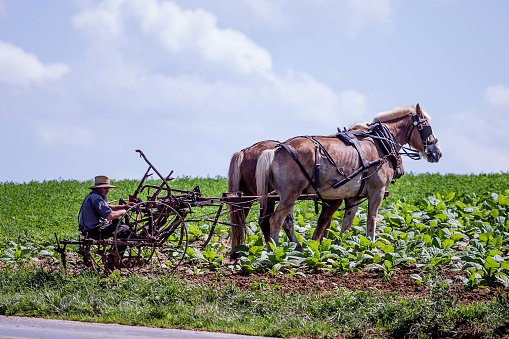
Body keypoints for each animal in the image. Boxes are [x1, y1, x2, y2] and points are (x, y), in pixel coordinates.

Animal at [256, 105, 438, 246]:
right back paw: (277, 252)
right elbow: (371, 219)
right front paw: (371, 246)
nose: (437, 152)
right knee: (275, 221)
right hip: (290, 194)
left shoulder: (354, 196)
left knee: (286, 222)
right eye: (427, 126)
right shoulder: (377, 192)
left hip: (288, 195)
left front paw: (341, 247)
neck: (380, 142)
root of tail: (276, 150)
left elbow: (346, 223)